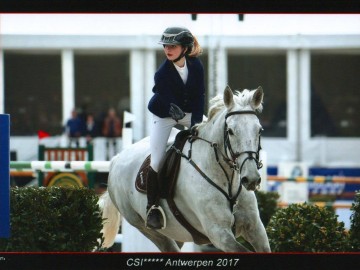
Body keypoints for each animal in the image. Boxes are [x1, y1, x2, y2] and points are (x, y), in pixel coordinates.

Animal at [98, 85, 270, 252]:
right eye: (231, 131)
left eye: (259, 130)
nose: (251, 179)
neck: (227, 180)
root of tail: (117, 158)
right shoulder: (219, 234)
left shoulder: (255, 229)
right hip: (145, 227)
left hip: (176, 233)